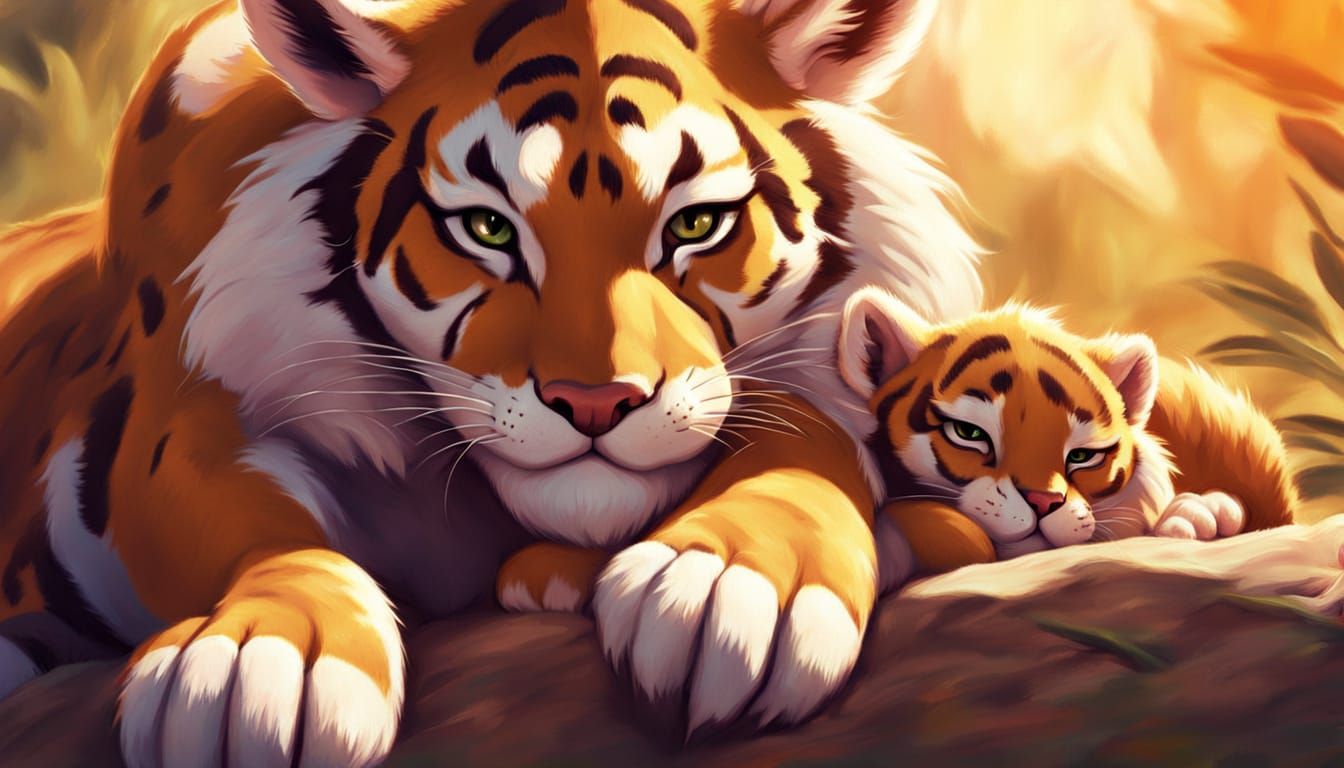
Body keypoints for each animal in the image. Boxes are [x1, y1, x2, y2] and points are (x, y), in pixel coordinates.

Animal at [0, 0, 982, 764]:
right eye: (488, 229)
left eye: (696, 224)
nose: (596, 402)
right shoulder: (177, 413)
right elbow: (249, 529)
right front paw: (262, 659)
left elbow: (808, 437)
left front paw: (731, 583)